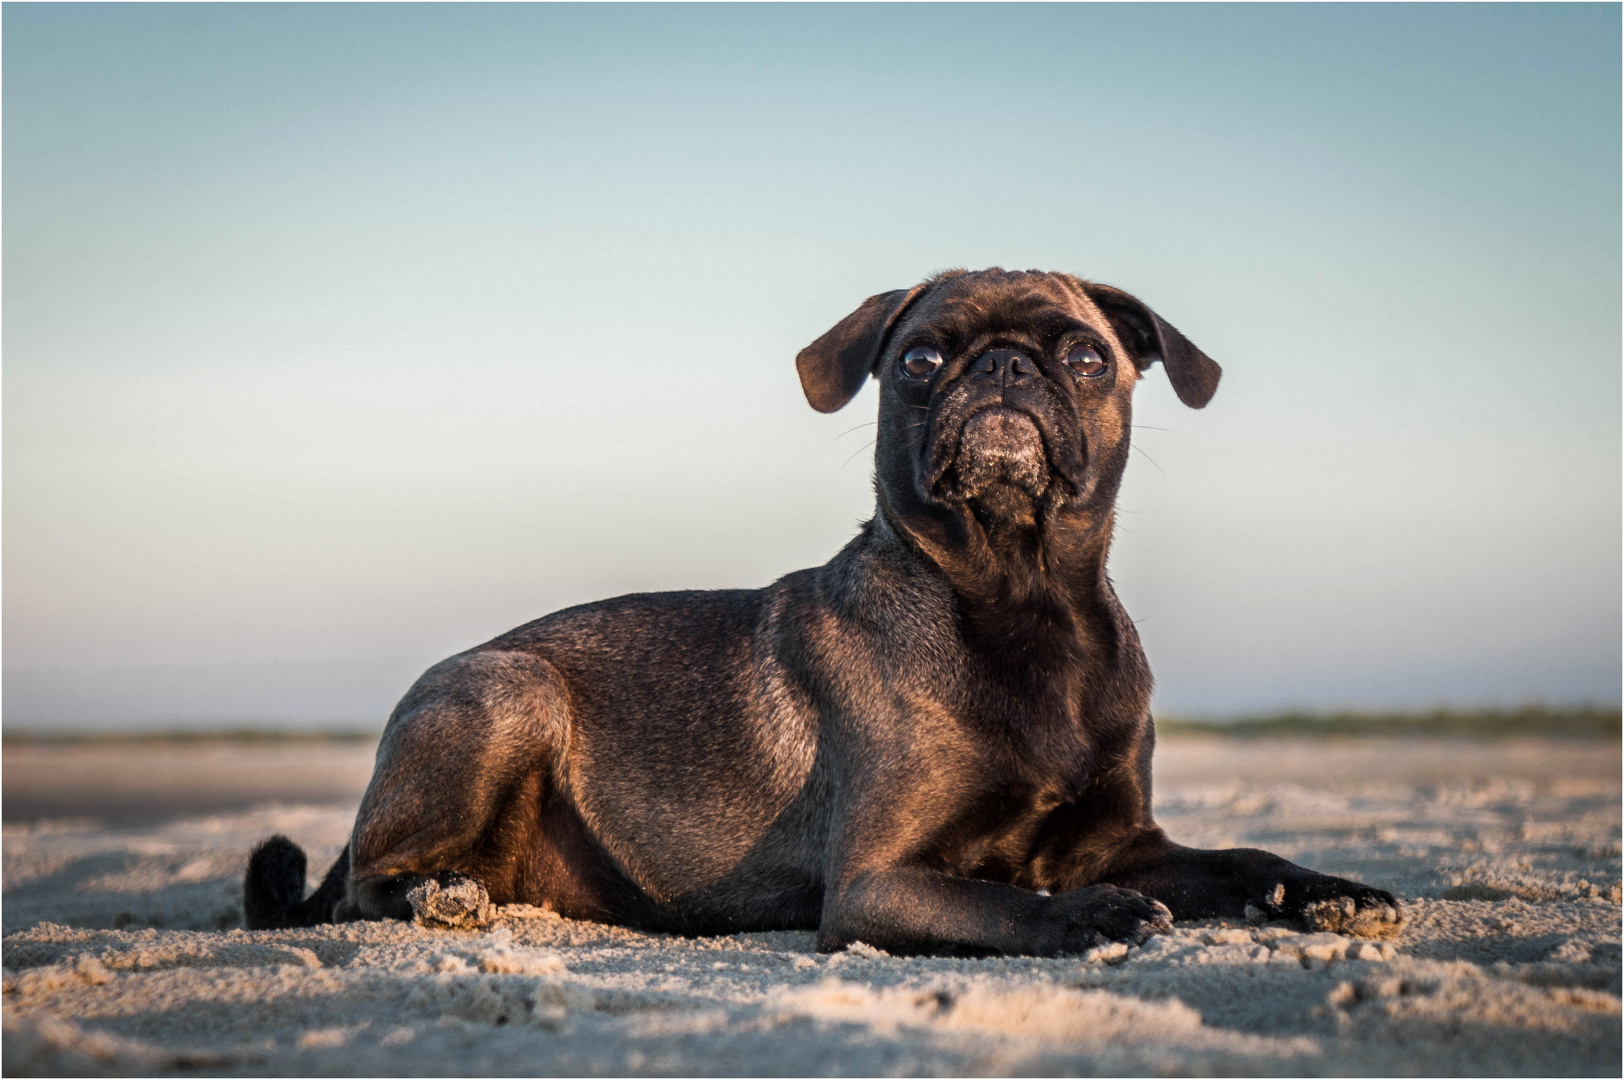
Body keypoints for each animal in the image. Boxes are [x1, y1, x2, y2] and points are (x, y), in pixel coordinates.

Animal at [246, 269, 1403, 954]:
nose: (1002, 365)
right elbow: (1004, 901)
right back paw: (433, 893)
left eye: (1083, 358)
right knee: (360, 888)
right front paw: (1086, 917)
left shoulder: (1125, 840)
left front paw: (1324, 888)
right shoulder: (876, 885)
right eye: (920, 359)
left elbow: (1242, 862)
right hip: (508, 691)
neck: (1019, 597)